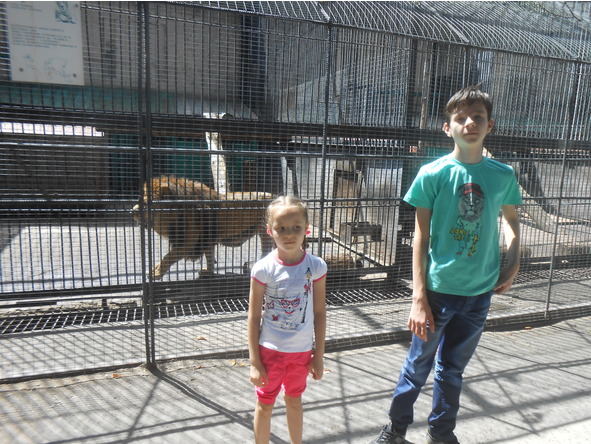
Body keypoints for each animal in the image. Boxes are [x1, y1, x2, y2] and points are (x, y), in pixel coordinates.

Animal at [132, 176, 274, 280]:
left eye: (145, 203)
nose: (132, 211)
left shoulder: (189, 243)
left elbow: (167, 257)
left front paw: (155, 273)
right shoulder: (206, 240)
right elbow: (209, 258)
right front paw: (208, 272)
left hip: (264, 231)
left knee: (267, 250)